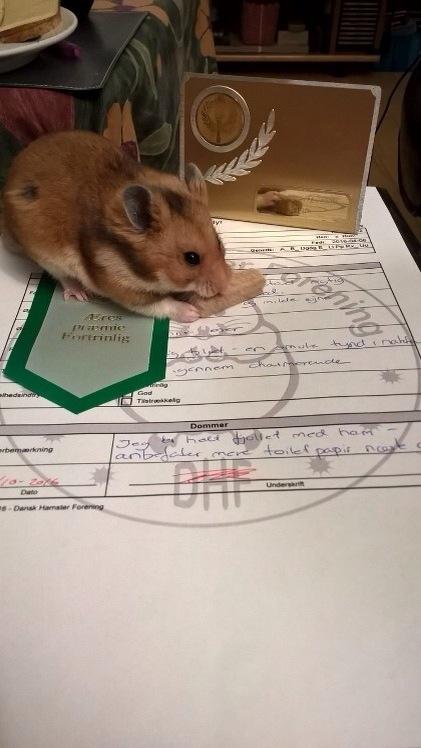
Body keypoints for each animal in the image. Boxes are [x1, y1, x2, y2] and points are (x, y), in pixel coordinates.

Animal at [2, 130, 232, 323]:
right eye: (191, 258)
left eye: (219, 243)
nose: (226, 284)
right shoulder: (119, 285)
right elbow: (156, 303)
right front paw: (192, 312)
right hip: (47, 255)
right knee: (63, 277)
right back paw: (80, 294)